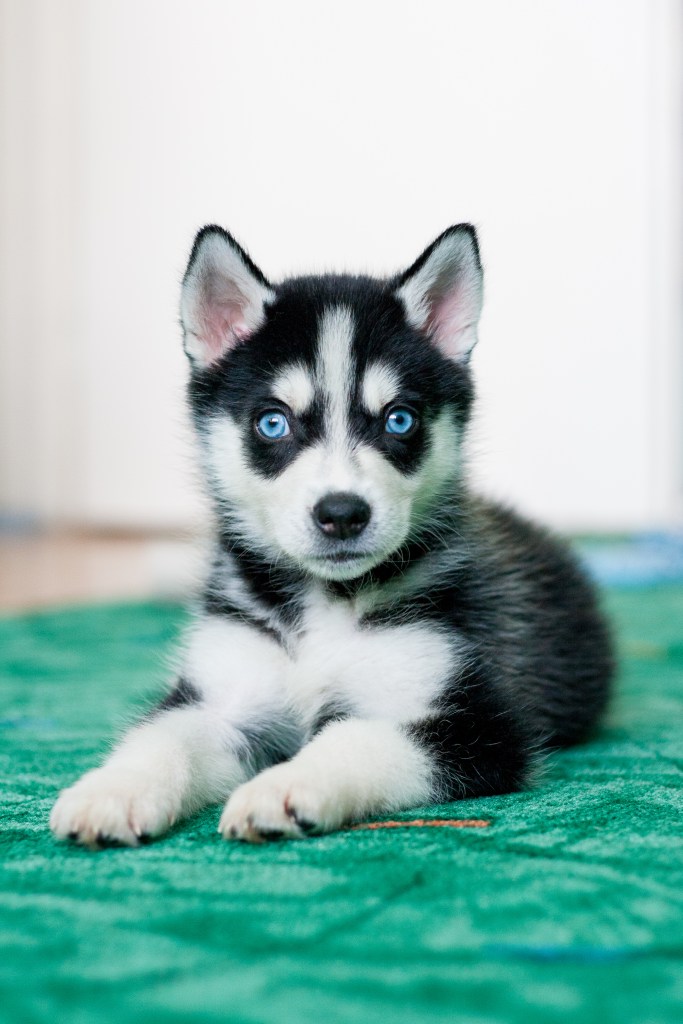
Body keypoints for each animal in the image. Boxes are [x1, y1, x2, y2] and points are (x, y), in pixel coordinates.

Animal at [49, 226, 614, 847]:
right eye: (273, 422)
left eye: (399, 419)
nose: (342, 513)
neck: (322, 607)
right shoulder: (223, 699)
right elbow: (162, 735)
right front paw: (114, 789)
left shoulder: (479, 727)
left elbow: (356, 736)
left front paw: (285, 786)